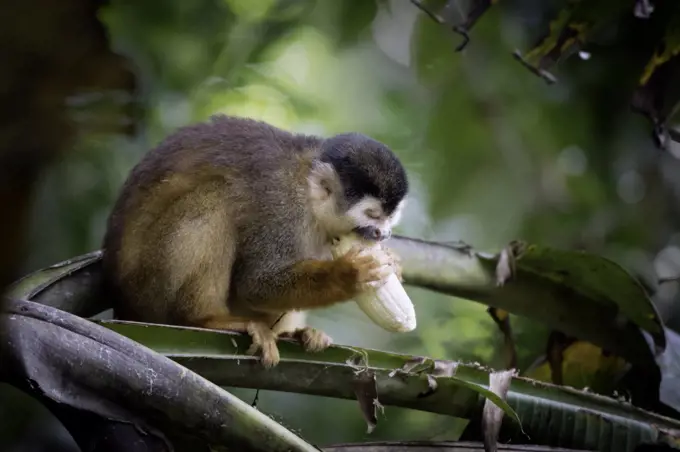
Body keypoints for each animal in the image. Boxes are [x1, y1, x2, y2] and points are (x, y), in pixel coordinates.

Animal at [100, 115, 406, 366]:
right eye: (372, 215)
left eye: (390, 218)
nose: (382, 234)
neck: (308, 195)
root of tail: (124, 309)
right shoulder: (281, 205)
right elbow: (256, 283)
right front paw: (348, 274)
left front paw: (394, 262)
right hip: (151, 287)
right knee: (214, 196)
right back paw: (206, 319)